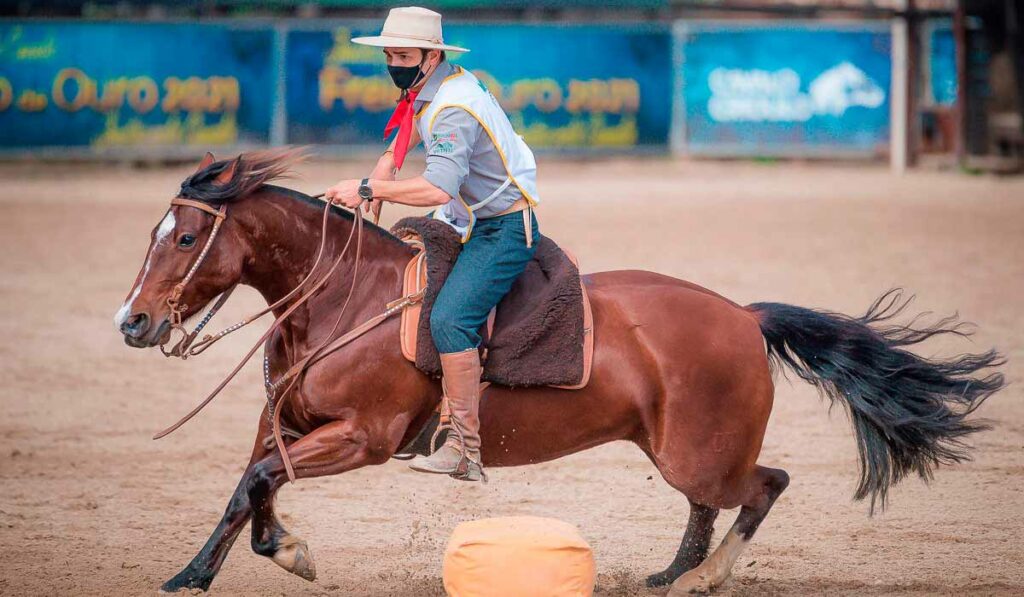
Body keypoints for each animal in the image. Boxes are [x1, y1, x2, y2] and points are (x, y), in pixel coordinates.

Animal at [116, 148, 1003, 593]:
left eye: (187, 237)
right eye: (155, 231)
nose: (133, 321)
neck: (342, 299)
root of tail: (743, 315)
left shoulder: (364, 437)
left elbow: (262, 480)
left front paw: (284, 551)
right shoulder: (283, 421)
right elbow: (249, 485)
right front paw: (203, 570)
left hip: (700, 450)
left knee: (763, 485)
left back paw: (704, 577)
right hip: (675, 447)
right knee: (713, 503)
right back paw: (670, 573)